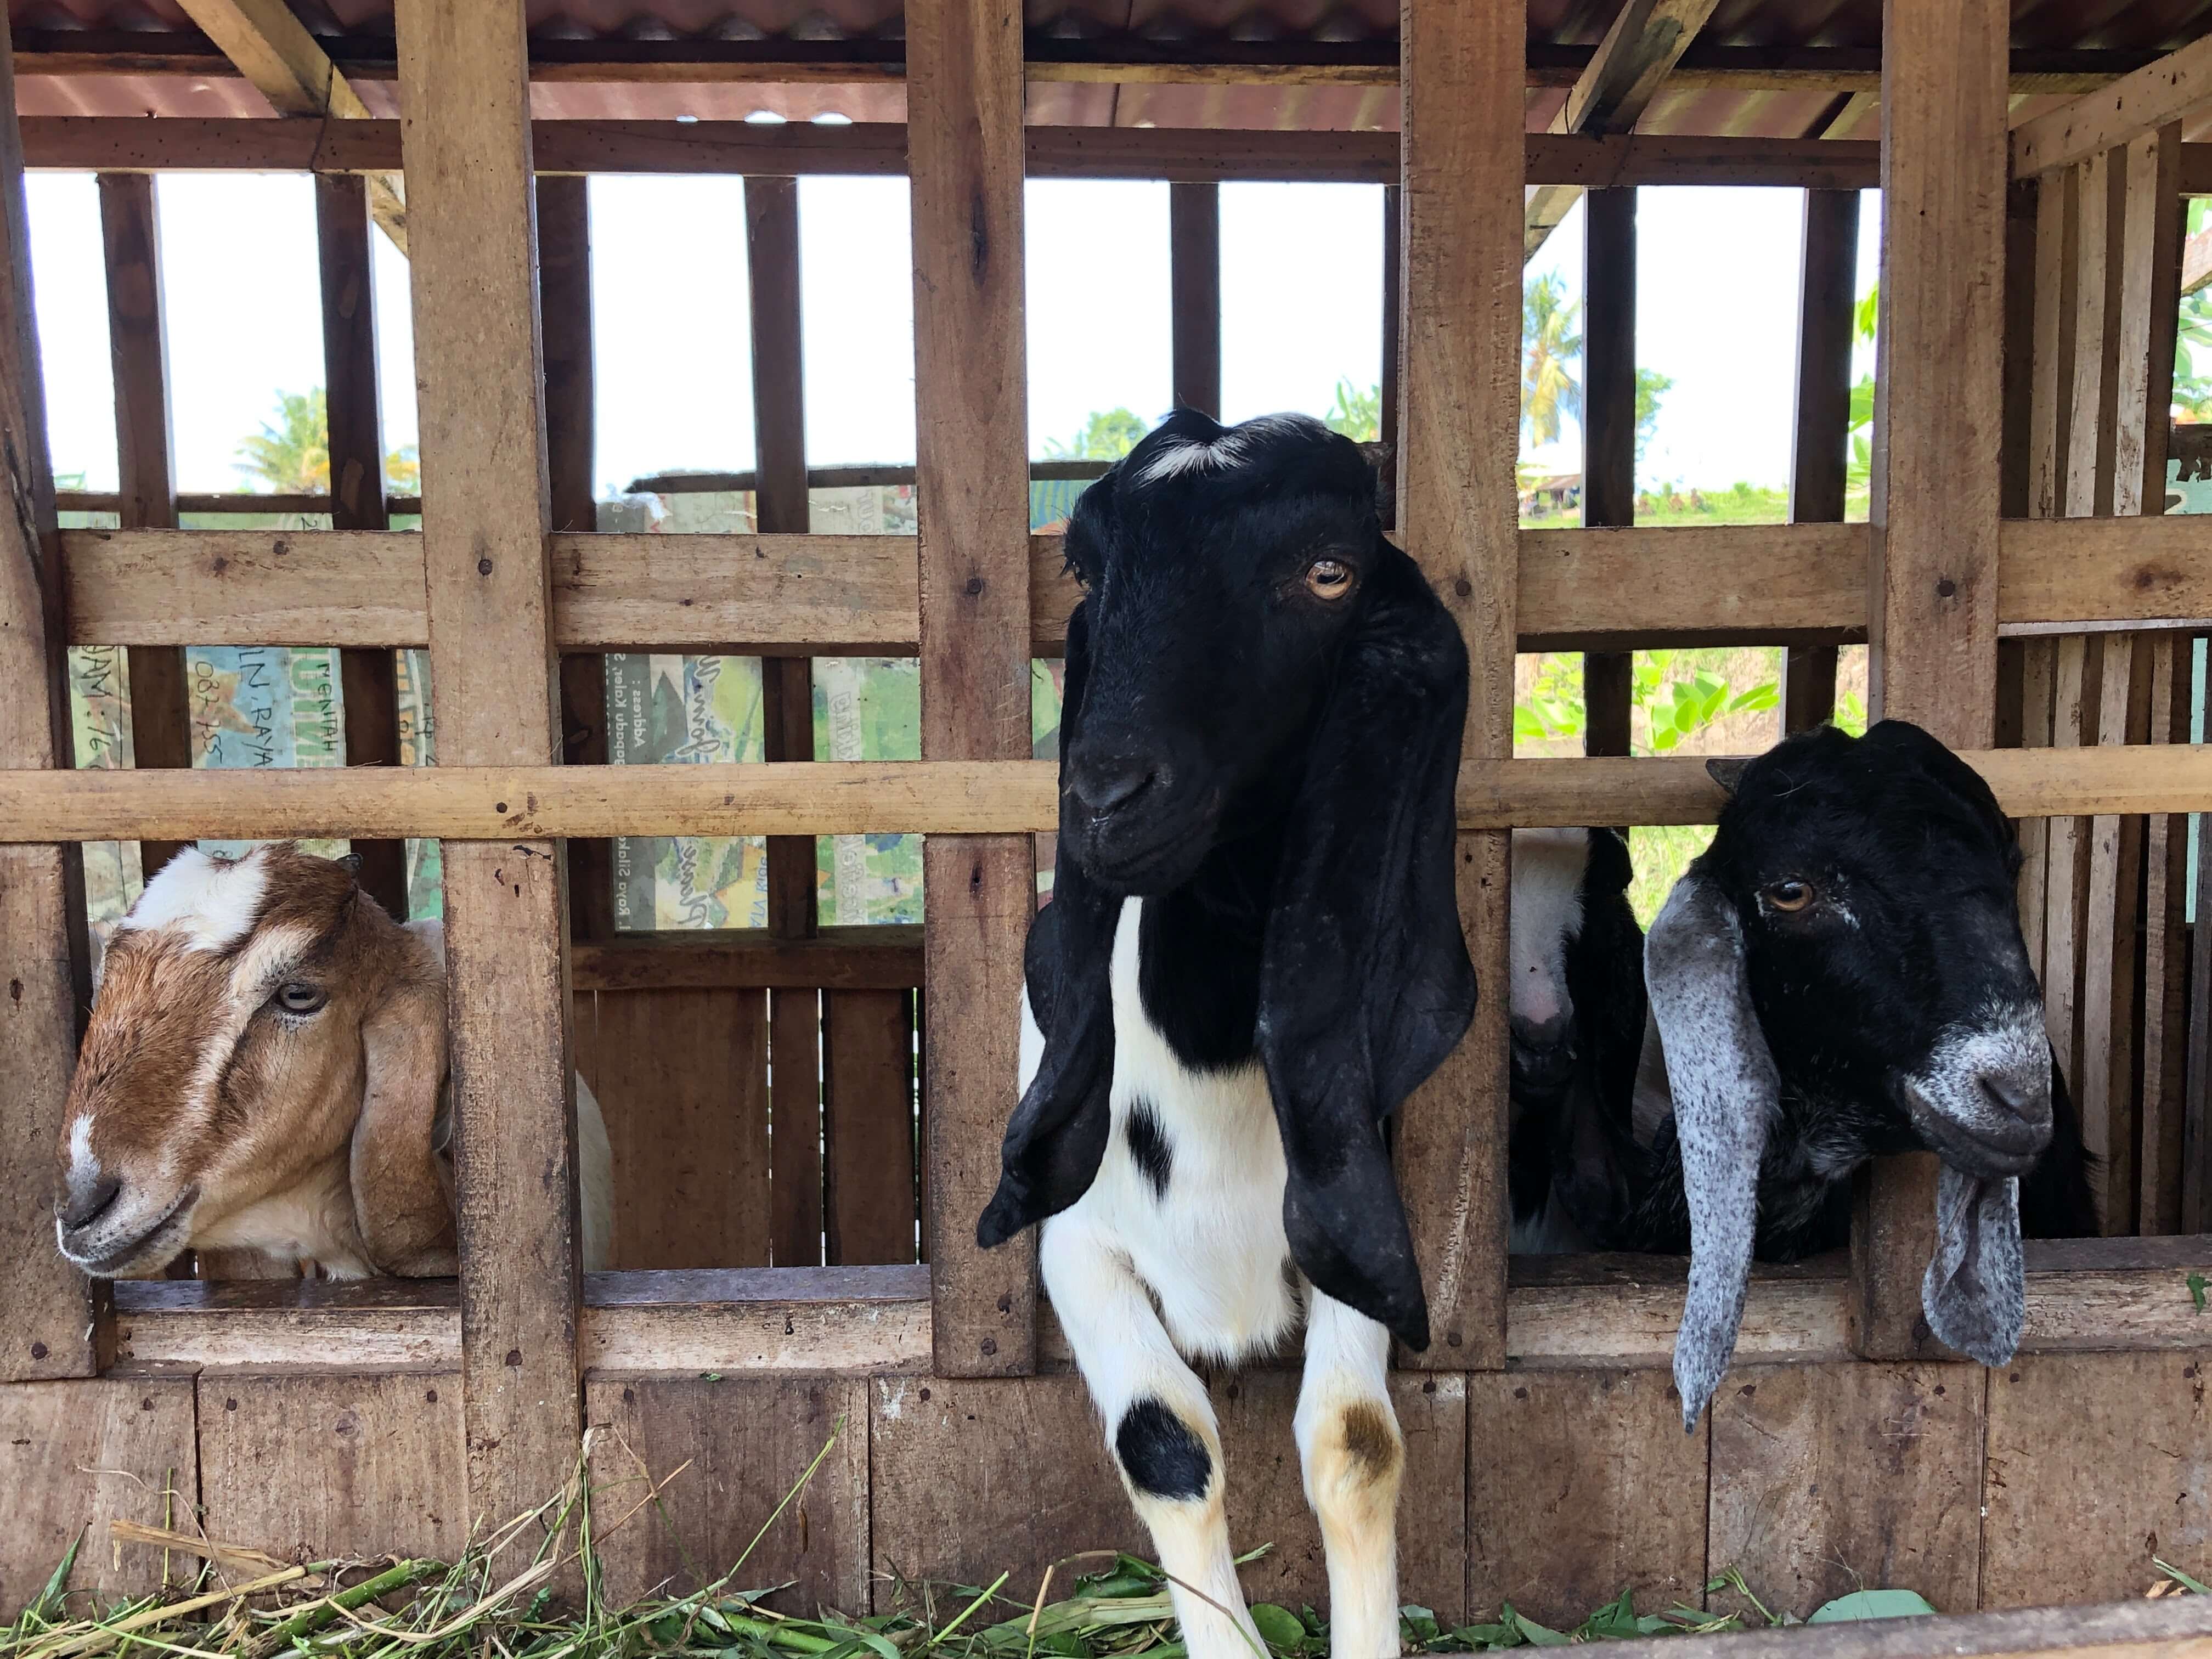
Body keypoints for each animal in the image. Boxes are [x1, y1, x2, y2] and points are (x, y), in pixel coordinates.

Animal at [978, 413, 1477, 1659]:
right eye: (1087, 566)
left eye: (1330, 571)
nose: (1108, 796)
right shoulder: (1074, 1245)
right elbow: (1166, 1443)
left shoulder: (1352, 1216)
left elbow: (1353, 1441)